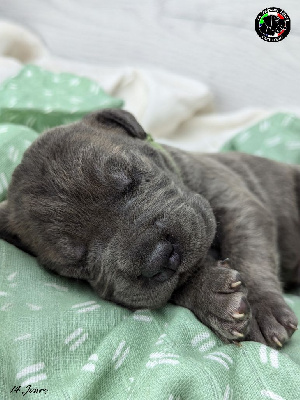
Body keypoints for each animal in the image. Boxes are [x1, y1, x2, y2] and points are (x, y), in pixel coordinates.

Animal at [0, 108, 300, 346]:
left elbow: (251, 255)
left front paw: (262, 311)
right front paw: (212, 296)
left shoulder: (239, 205)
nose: (158, 257)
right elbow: (177, 286)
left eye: (130, 178)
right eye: (80, 263)